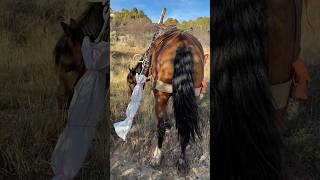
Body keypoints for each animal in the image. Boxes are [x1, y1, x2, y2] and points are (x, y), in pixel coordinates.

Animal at [127, 28, 205, 173]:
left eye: (130, 81)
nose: (129, 94)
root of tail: (182, 44)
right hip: (193, 94)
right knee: (185, 125)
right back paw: (182, 160)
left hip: (161, 94)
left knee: (160, 127)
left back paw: (157, 156)